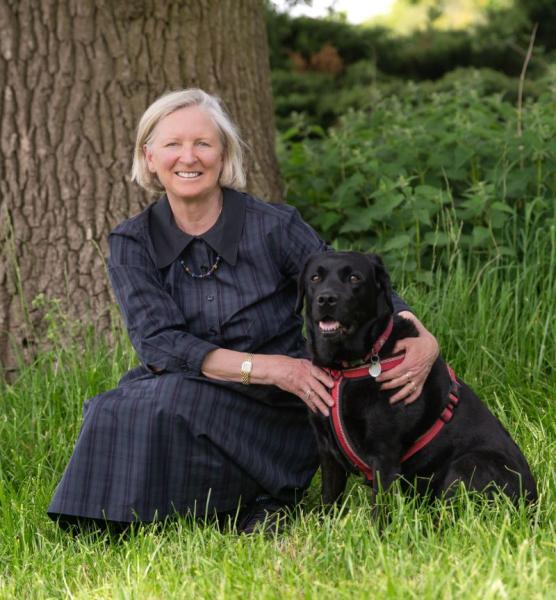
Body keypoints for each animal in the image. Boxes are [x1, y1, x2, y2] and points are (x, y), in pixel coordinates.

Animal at [298, 251, 536, 508]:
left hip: (468, 466)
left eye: (354, 277)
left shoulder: (385, 455)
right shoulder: (327, 451)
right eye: (315, 277)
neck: (347, 369)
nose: (326, 299)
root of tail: (532, 500)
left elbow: (380, 509)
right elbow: (329, 501)